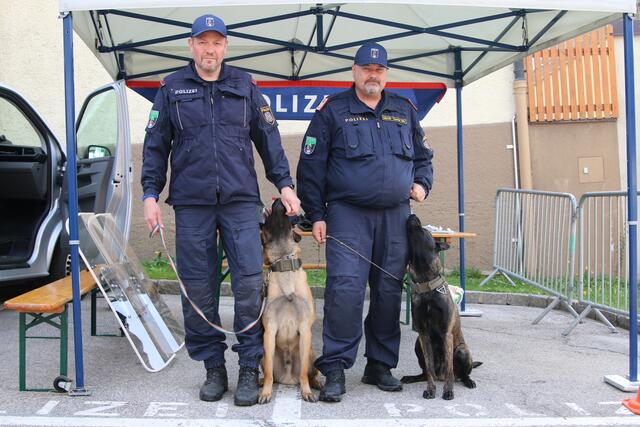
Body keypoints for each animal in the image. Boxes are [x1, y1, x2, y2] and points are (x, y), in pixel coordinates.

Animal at [258, 199, 321, 404]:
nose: (278, 200)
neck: (284, 263)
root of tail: (287, 379)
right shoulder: (269, 331)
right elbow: (269, 372)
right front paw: (266, 392)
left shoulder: (305, 329)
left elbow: (303, 375)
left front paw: (306, 391)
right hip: (262, 354)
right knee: (269, 372)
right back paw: (260, 382)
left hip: (312, 354)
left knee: (309, 373)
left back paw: (316, 383)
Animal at [401, 214, 481, 400]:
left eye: (425, 230)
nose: (412, 215)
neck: (427, 285)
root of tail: (440, 375)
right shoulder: (423, 335)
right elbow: (429, 368)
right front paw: (431, 390)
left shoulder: (447, 334)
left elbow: (449, 369)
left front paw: (448, 391)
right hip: (417, 344)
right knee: (425, 372)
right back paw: (412, 378)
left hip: (462, 350)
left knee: (461, 373)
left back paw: (468, 381)